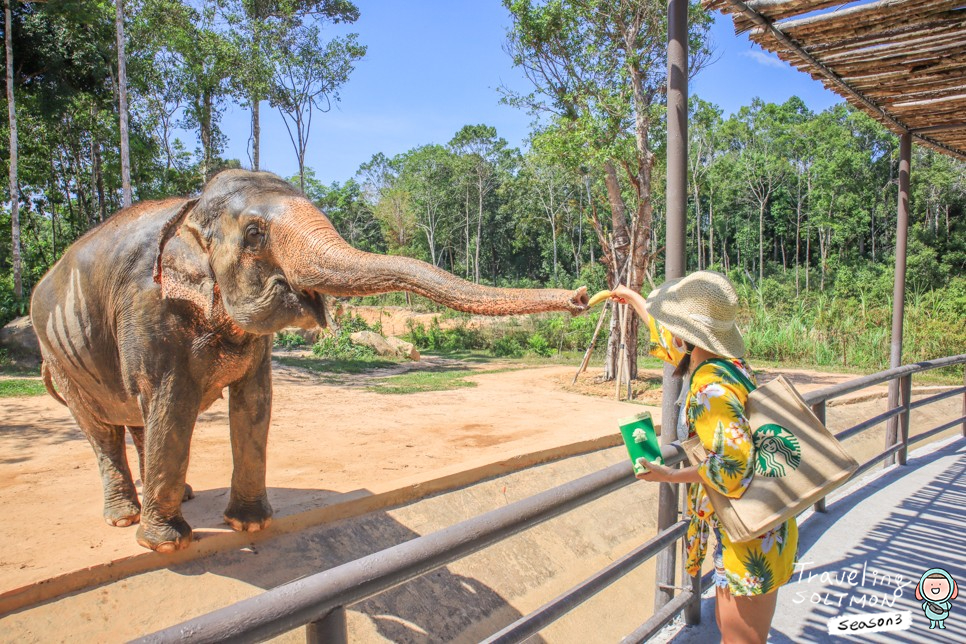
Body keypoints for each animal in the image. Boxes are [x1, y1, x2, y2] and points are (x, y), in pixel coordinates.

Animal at [30, 169, 588, 552]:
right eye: (255, 233)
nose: (583, 296)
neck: (187, 211)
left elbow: (255, 404)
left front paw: (250, 523)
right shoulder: (148, 310)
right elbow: (171, 403)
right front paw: (168, 544)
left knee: (136, 419)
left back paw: (177, 497)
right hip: (61, 358)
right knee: (104, 428)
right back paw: (128, 519)